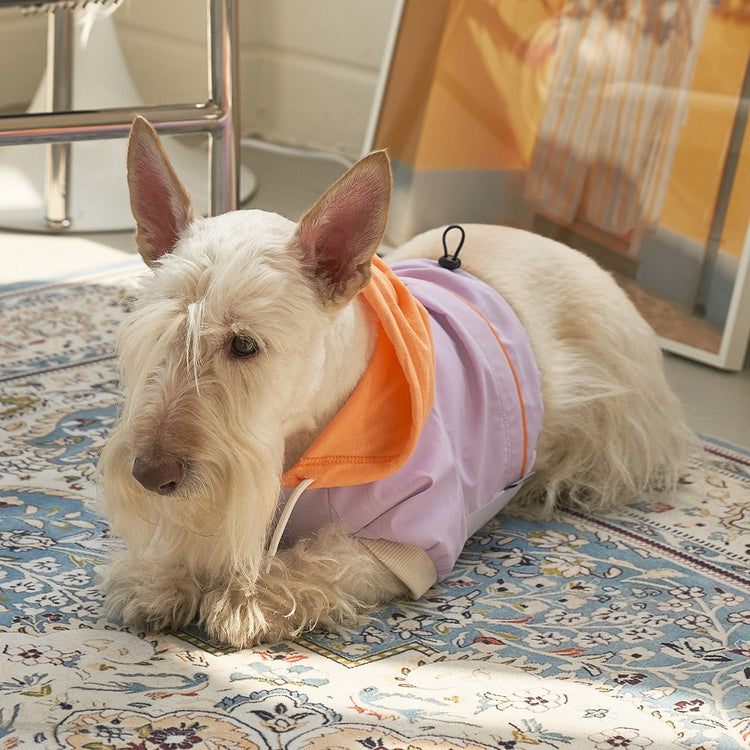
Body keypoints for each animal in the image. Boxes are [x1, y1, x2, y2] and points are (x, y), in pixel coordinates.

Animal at [99, 116, 693, 648]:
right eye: (159, 333)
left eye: (245, 344)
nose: (149, 474)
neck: (300, 438)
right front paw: (161, 577)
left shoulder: (403, 541)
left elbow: (325, 558)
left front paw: (249, 601)